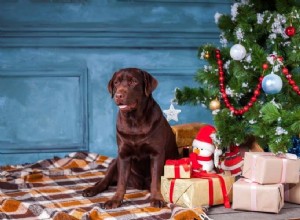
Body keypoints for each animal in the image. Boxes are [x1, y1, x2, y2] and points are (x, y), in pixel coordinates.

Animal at [82, 68, 178, 209]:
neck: (134, 121)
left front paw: (156, 198)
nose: (118, 95)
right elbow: (121, 182)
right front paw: (115, 200)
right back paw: (91, 189)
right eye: (116, 83)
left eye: (133, 82)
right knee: (105, 181)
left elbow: (156, 180)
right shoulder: (123, 155)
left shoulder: (157, 154)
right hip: (114, 162)